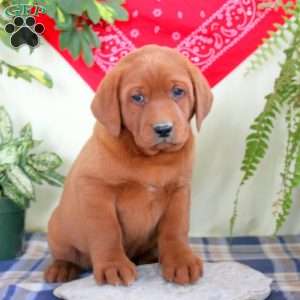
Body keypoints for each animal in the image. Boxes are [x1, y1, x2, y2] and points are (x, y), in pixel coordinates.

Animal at [44, 44, 213, 286]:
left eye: (178, 92)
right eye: (137, 97)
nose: (163, 128)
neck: (152, 158)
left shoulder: (179, 190)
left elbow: (176, 229)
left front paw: (180, 260)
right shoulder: (95, 188)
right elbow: (107, 231)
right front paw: (113, 265)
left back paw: (151, 257)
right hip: (58, 227)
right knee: (66, 254)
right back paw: (62, 268)